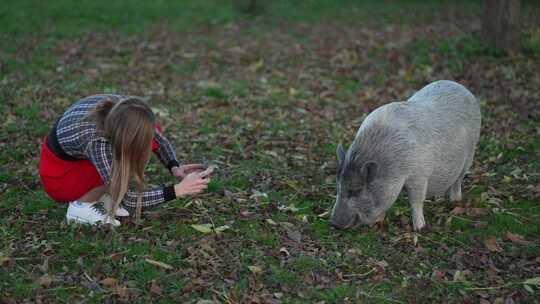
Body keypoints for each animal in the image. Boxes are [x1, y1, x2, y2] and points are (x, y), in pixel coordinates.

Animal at [330, 80, 480, 230]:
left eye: (356, 190)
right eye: (338, 187)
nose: (334, 224)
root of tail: (461, 87)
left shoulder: (419, 176)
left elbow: (415, 201)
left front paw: (419, 228)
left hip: (471, 151)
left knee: (458, 180)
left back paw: (455, 201)